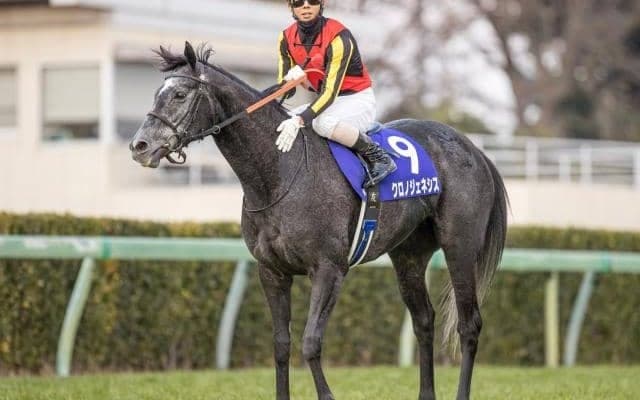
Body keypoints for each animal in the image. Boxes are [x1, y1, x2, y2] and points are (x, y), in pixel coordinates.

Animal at [129, 42, 508, 400]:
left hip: (459, 247)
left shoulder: (328, 269)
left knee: (469, 324)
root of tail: (474, 149)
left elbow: (311, 342)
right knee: (424, 320)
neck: (278, 174)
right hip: (409, 256)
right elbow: (281, 344)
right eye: (157, 92)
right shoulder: (272, 272)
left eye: (179, 94)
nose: (140, 146)